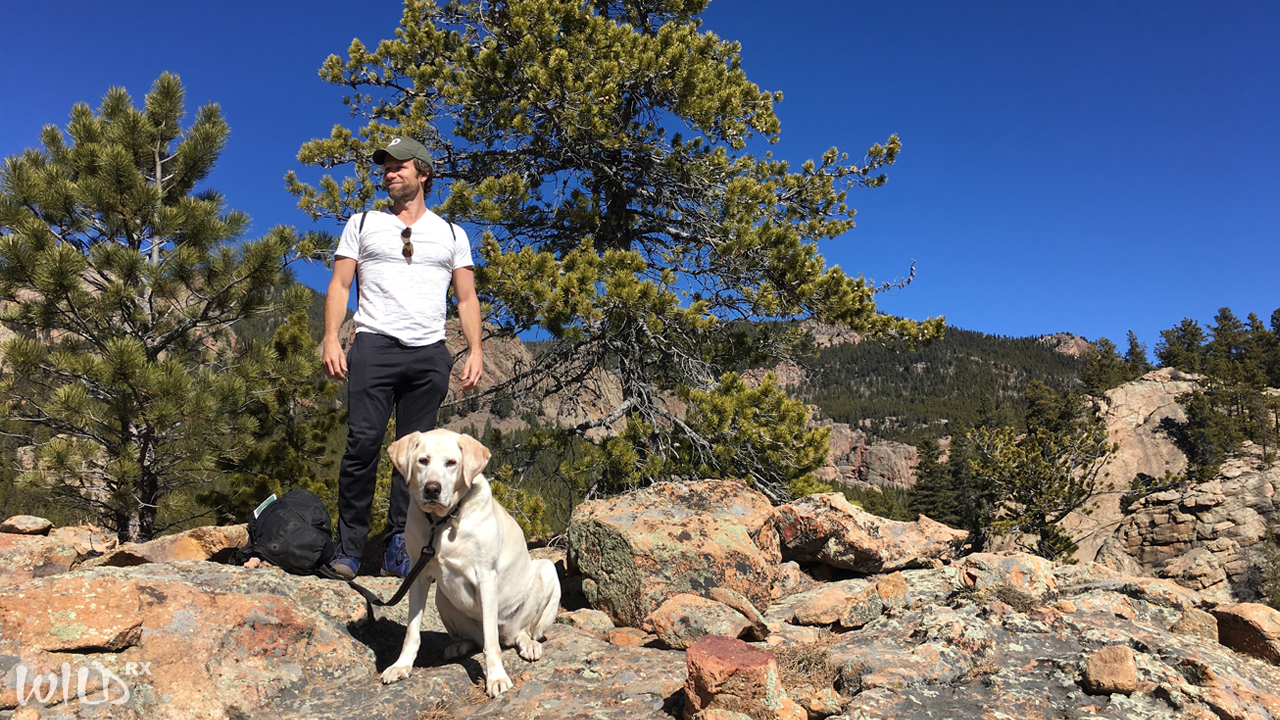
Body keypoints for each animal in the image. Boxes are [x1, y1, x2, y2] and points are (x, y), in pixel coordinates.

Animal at [379, 429, 561, 697]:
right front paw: (401, 666)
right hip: (441, 596)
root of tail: (508, 634)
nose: (432, 489)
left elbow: (491, 644)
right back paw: (459, 646)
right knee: (475, 638)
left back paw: (528, 644)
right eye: (422, 461)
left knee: (521, 632)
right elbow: (412, 631)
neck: (442, 522)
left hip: (546, 573)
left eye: (451, 463)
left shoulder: (485, 576)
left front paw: (496, 678)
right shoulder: (418, 575)